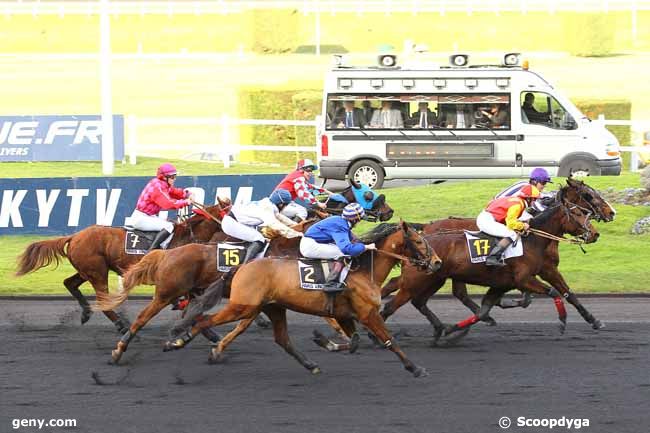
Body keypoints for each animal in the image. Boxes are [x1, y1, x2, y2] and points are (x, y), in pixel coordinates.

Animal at [15, 202, 228, 330]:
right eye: (230, 213)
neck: (186, 236)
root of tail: (74, 236)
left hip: (87, 270)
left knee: (70, 283)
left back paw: (86, 312)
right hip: (97, 271)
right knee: (102, 300)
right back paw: (120, 324)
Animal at [159, 221, 438, 376]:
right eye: (417, 241)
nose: (436, 262)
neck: (363, 271)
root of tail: (241, 267)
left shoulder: (344, 314)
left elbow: (354, 341)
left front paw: (324, 341)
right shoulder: (368, 314)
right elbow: (389, 340)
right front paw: (415, 368)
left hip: (272, 308)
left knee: (283, 340)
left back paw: (310, 364)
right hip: (243, 306)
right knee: (203, 320)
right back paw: (179, 342)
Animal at [380, 177, 612, 332]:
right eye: (588, 196)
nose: (611, 213)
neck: (537, 234)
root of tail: (426, 228)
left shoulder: (545, 270)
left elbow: (567, 294)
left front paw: (594, 320)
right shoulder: (538, 271)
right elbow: (546, 294)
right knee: (406, 287)